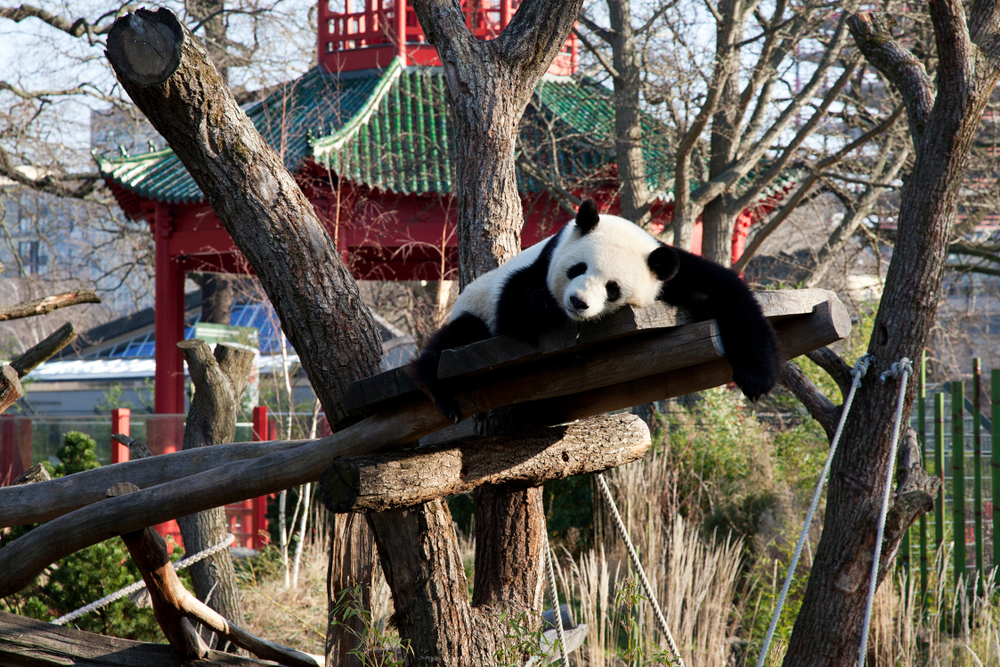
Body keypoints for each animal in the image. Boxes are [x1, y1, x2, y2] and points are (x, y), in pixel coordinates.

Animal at [407, 198, 779, 422]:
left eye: (612, 287)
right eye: (578, 268)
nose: (579, 302)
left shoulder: (670, 268)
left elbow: (729, 291)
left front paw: (757, 377)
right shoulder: (540, 262)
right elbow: (516, 304)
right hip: (472, 309)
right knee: (456, 338)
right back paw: (436, 388)